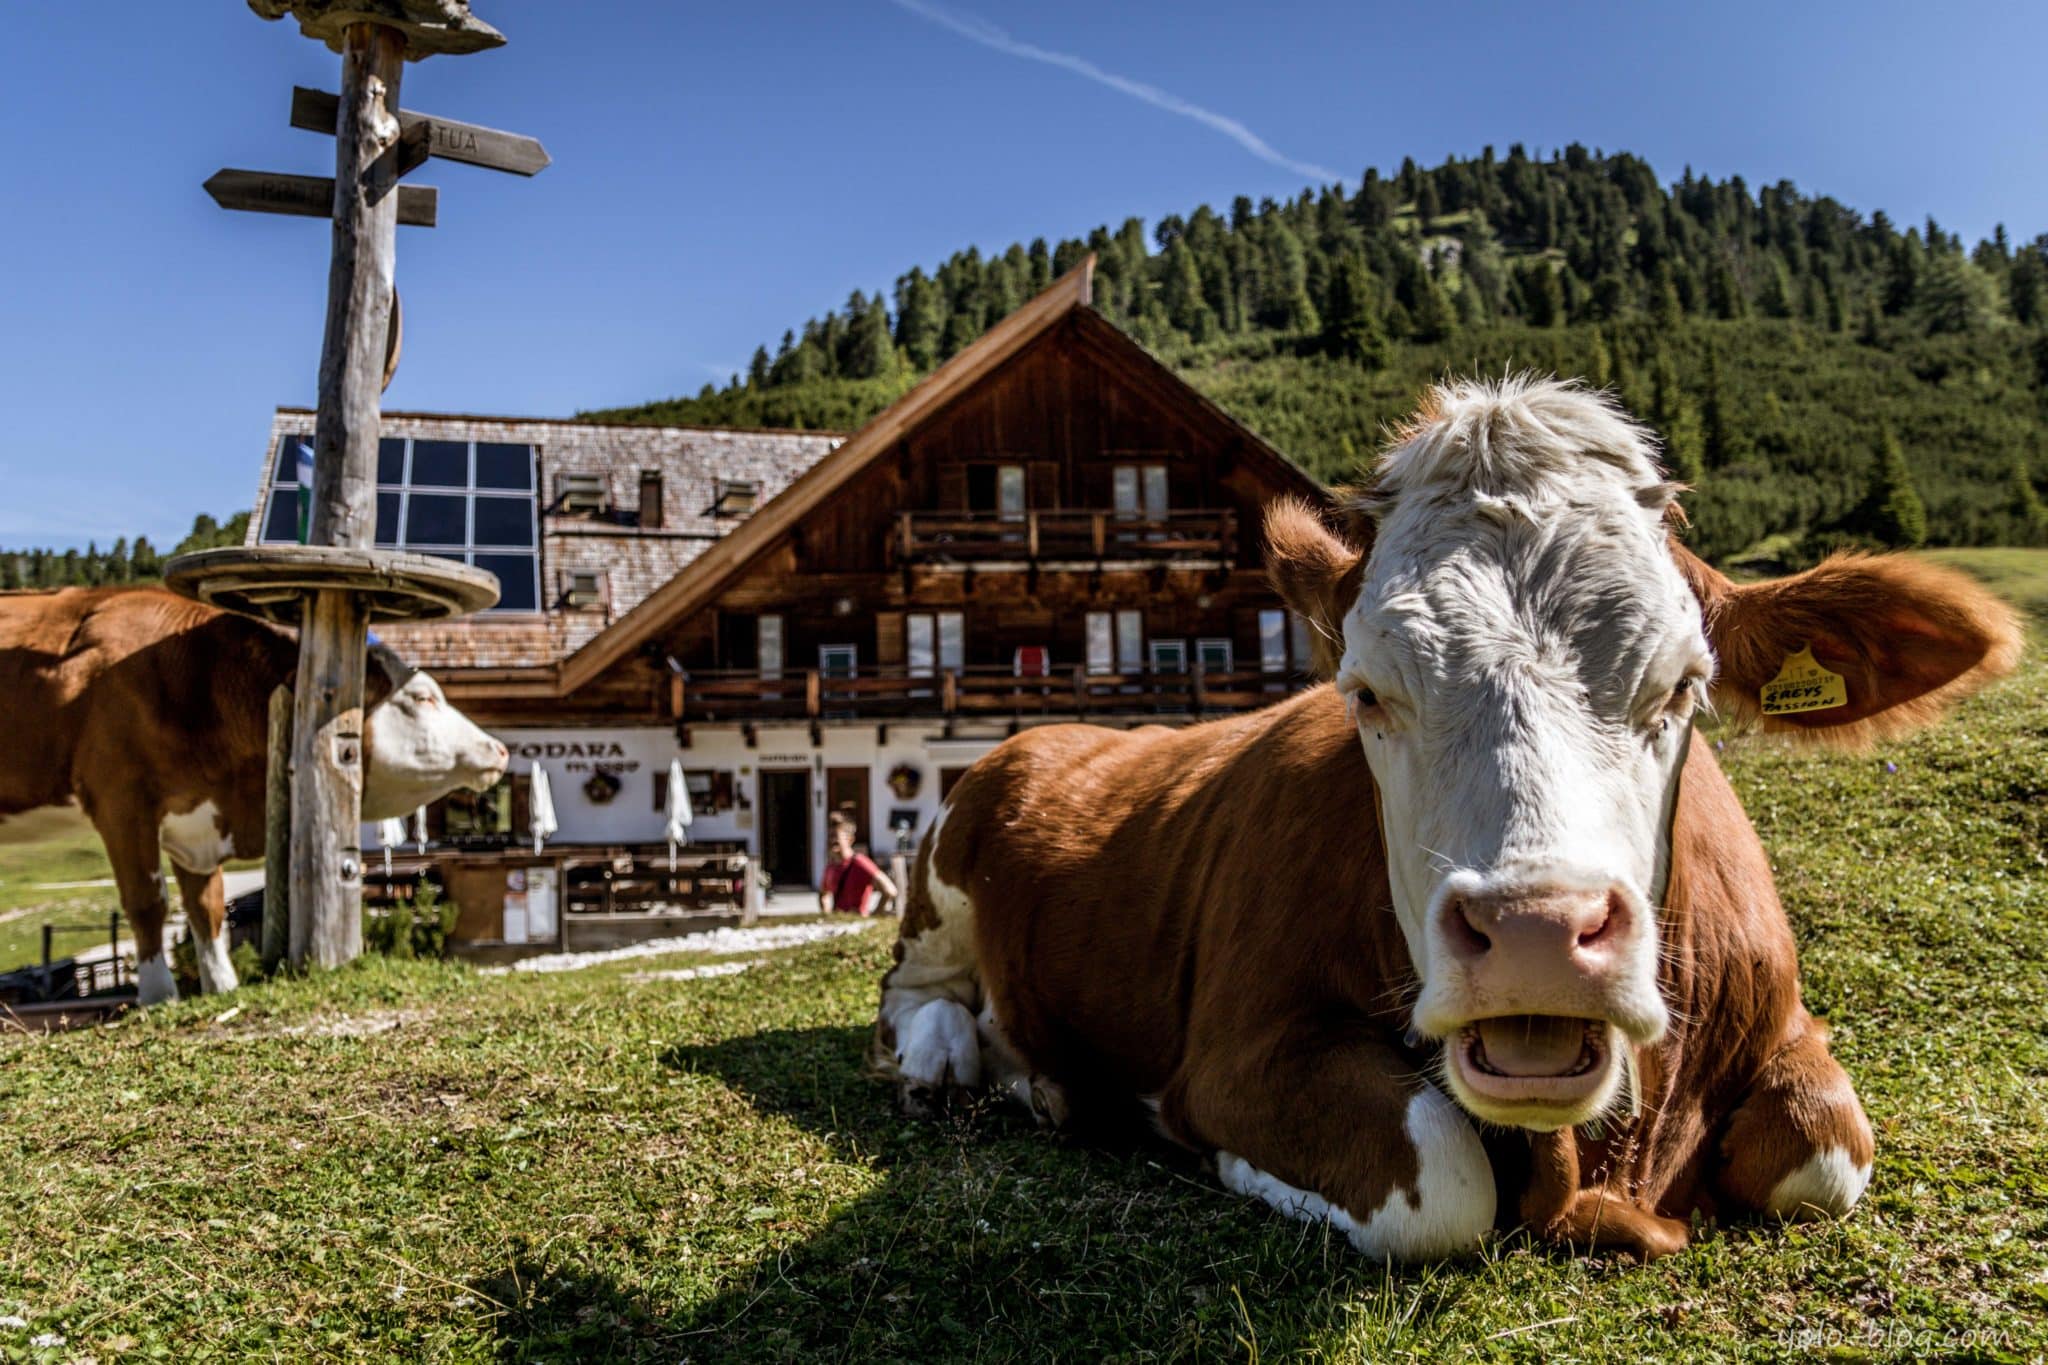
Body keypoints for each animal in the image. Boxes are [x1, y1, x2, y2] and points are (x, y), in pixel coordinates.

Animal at [0, 589, 507, 1002]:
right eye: (422, 698)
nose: (498, 749)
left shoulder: (196, 817)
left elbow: (205, 908)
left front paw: (222, 987)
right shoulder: (120, 798)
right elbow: (148, 902)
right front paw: (159, 994)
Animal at [872, 378, 2023, 1268]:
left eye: (1682, 686)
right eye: (1365, 693)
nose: (1535, 931)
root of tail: (1048, 732)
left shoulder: (1783, 1029)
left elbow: (1821, 1151)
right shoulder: (1239, 1057)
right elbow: (1443, 1177)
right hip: (940, 870)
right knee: (912, 998)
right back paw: (975, 1066)